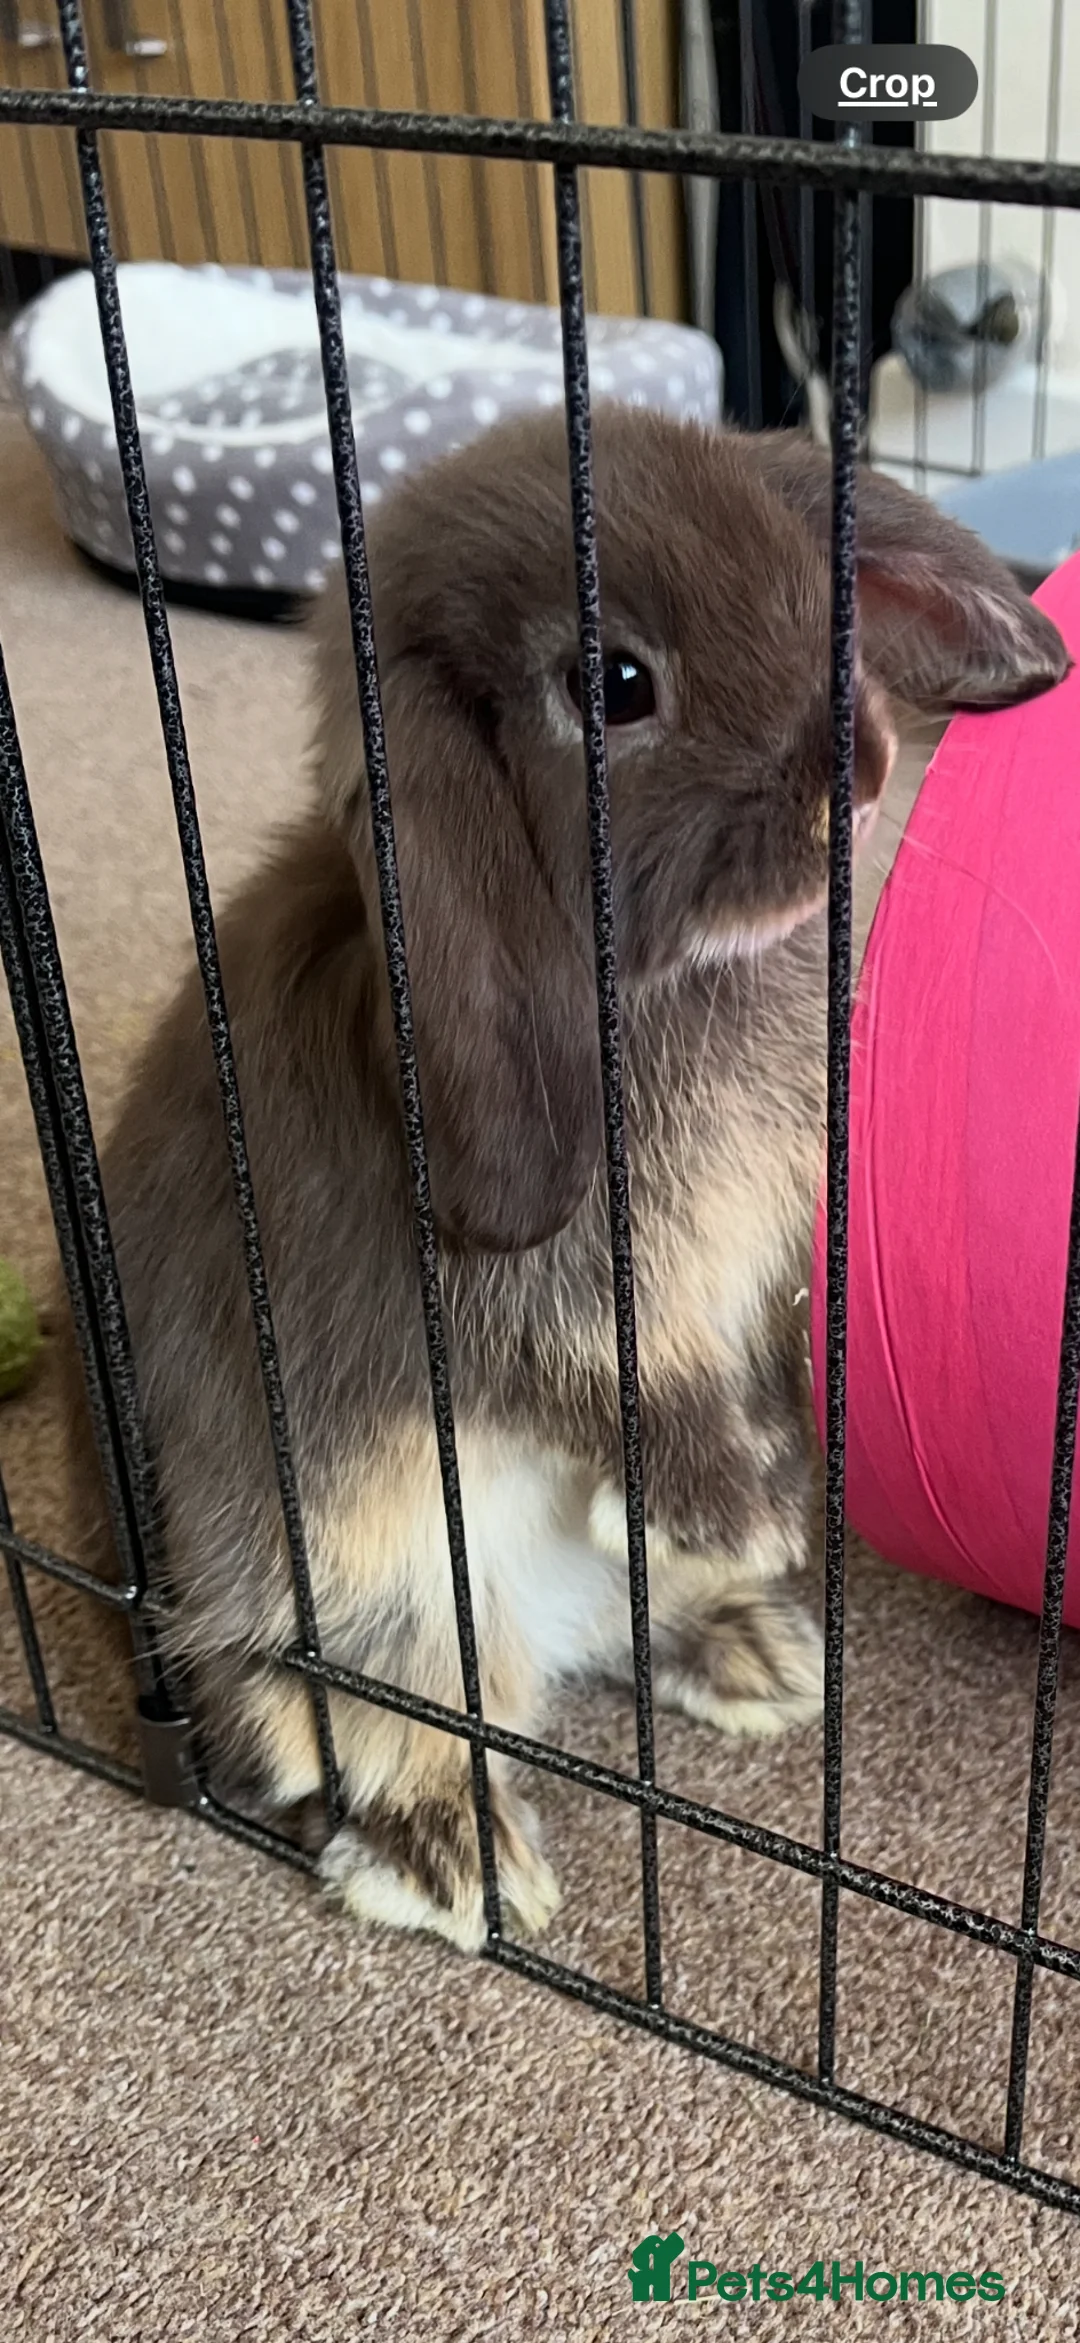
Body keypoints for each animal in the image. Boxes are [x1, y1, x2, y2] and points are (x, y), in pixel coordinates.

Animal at [60, 404, 1068, 1952]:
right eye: (614, 684)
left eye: (814, 587)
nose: (855, 772)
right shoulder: (538, 1295)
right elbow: (613, 1371)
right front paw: (742, 1504)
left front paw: (765, 1499)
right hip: (345, 1562)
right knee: (349, 1708)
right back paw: (453, 1854)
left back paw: (758, 1651)